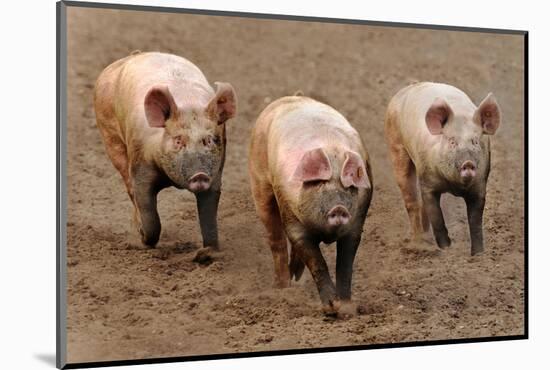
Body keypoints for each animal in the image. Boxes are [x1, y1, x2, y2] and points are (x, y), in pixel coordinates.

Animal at [95, 51, 237, 254]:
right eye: (178, 141)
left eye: (209, 140)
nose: (199, 175)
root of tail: (133, 56)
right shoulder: (140, 164)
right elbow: (147, 209)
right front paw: (145, 241)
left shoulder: (216, 173)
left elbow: (209, 215)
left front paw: (207, 253)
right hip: (110, 135)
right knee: (128, 186)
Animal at [250, 95, 376, 316]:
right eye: (319, 183)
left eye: (349, 187)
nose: (339, 208)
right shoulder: (292, 217)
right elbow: (316, 261)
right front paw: (331, 309)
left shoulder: (356, 224)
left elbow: (345, 265)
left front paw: (346, 309)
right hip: (259, 182)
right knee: (276, 240)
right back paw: (283, 288)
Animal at [386, 81, 502, 256]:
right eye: (452, 141)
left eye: (475, 141)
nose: (468, 163)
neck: (454, 186)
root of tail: (408, 88)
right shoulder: (427, 180)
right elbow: (436, 215)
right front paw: (447, 248)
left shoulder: (480, 184)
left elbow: (475, 221)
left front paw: (478, 255)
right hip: (396, 145)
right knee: (412, 200)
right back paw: (418, 245)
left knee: (422, 206)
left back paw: (426, 240)